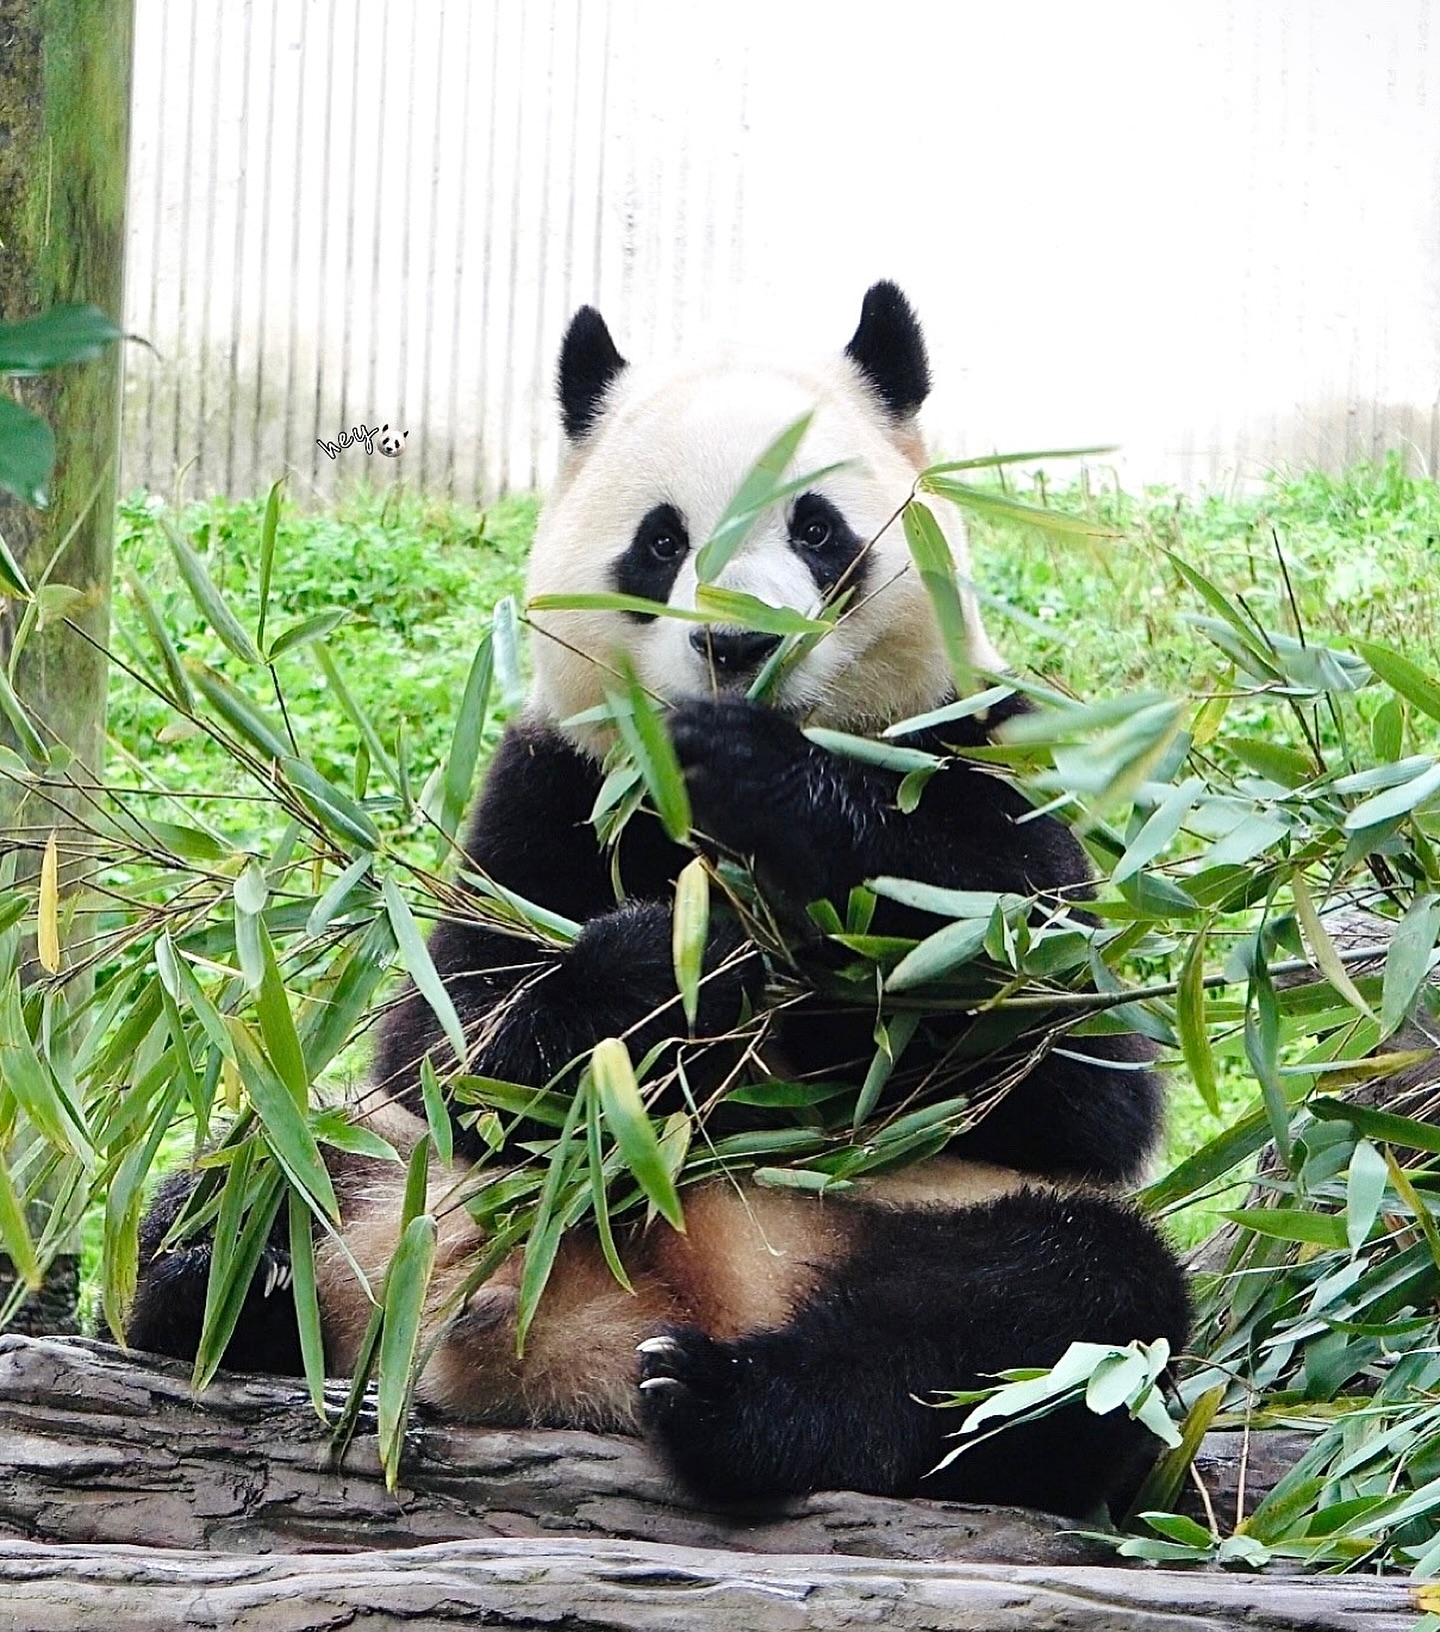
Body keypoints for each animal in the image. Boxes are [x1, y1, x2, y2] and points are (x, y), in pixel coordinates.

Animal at [132, 280, 1188, 1514]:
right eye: (664, 541)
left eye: (815, 528)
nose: (737, 643)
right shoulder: (549, 782)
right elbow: (446, 1043)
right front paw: (671, 964)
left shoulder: (980, 752)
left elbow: (1078, 1068)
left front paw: (768, 799)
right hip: (400, 1179)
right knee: (265, 1163)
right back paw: (214, 1280)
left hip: (928, 1212)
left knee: (1057, 1317)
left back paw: (730, 1403)